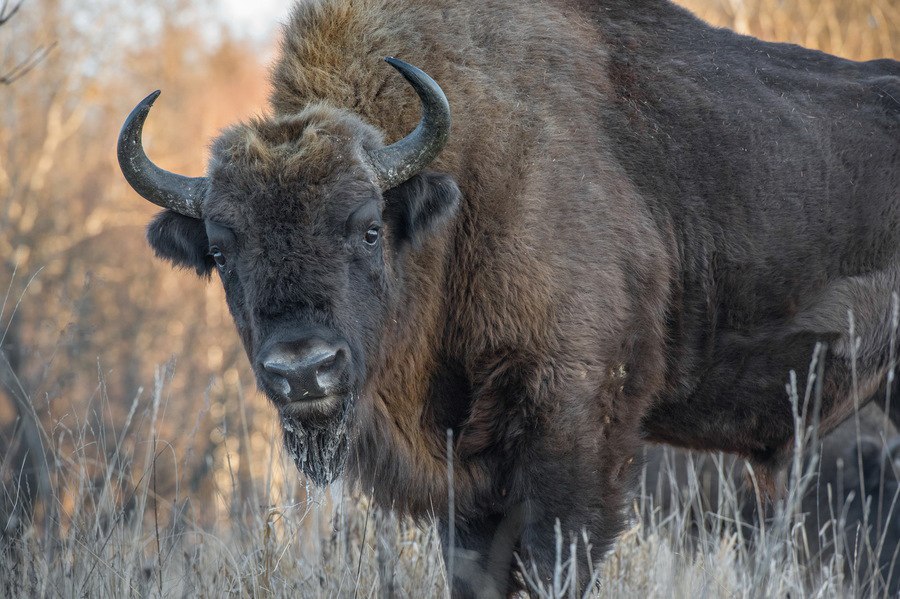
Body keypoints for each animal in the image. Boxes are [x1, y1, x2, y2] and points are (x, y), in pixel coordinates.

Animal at [116, 0, 896, 596]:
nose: (304, 370)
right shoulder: (466, 480)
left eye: (368, 226)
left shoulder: (573, 439)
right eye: (222, 251)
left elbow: (557, 559)